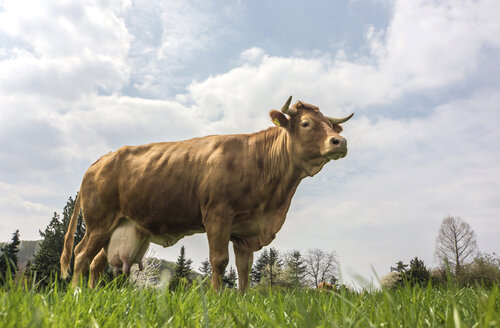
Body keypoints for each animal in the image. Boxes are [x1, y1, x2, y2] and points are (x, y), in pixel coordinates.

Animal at [60, 96, 354, 290]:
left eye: (330, 125)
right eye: (305, 123)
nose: (340, 141)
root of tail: (101, 160)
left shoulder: (244, 231)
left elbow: (244, 269)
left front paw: (243, 302)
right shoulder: (217, 215)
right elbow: (219, 261)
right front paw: (216, 298)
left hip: (119, 226)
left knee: (97, 262)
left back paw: (92, 296)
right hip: (99, 222)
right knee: (82, 255)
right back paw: (77, 295)